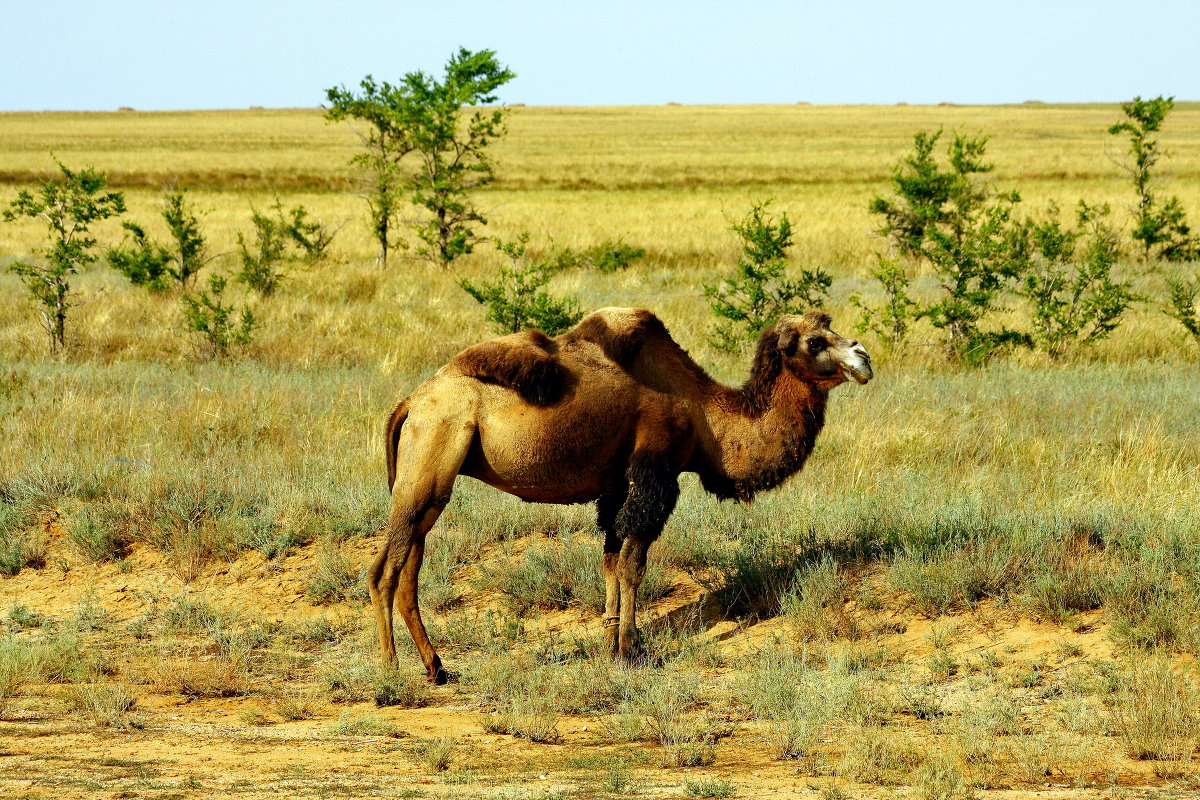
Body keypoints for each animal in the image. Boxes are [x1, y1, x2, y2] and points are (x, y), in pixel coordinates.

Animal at [367, 307, 873, 681]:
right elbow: (633, 564)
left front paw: (610, 642)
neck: (703, 416)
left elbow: (610, 560)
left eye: (830, 326)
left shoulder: (615, 487)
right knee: (384, 570)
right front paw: (631, 649)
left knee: (409, 564)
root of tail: (410, 401)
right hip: (433, 451)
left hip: (429, 478)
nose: (863, 357)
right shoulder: (655, 473)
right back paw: (391, 669)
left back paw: (436, 667)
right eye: (815, 341)